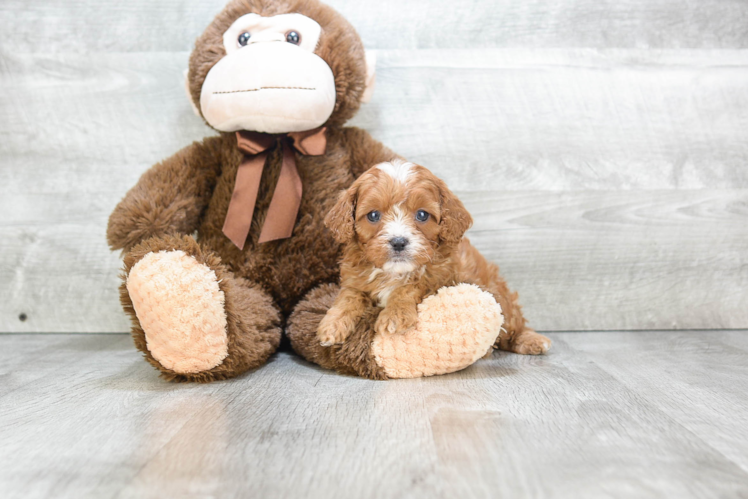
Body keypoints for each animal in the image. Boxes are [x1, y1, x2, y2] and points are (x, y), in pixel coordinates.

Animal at [316, 160, 548, 356]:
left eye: (422, 215)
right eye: (373, 215)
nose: (398, 242)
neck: (393, 272)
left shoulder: (438, 278)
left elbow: (409, 287)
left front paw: (395, 316)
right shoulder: (355, 279)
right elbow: (348, 297)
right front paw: (331, 325)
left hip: (500, 295)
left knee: (514, 325)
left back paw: (532, 341)